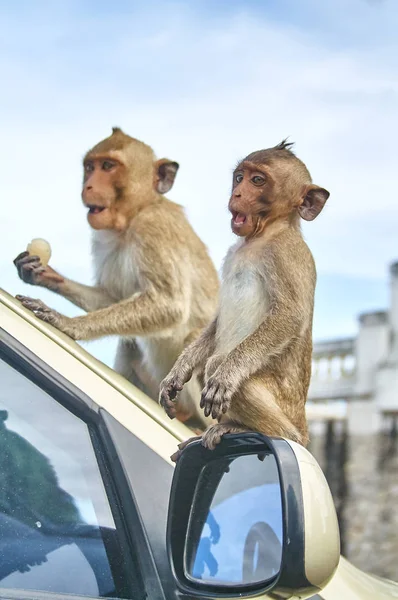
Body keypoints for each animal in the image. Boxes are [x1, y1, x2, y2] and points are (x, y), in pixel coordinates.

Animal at [14, 126, 218, 432]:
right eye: (90, 167)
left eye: (108, 166)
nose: (87, 186)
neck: (134, 216)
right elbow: (112, 298)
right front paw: (40, 274)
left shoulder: (154, 228)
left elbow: (169, 305)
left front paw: (69, 324)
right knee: (131, 342)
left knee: (192, 336)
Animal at [159, 139, 330, 460]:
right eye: (239, 178)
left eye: (258, 181)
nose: (237, 193)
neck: (263, 235)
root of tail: (302, 424)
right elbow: (214, 323)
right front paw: (179, 370)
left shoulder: (284, 253)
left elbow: (289, 315)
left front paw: (226, 376)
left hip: (283, 404)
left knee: (216, 363)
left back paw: (255, 429)